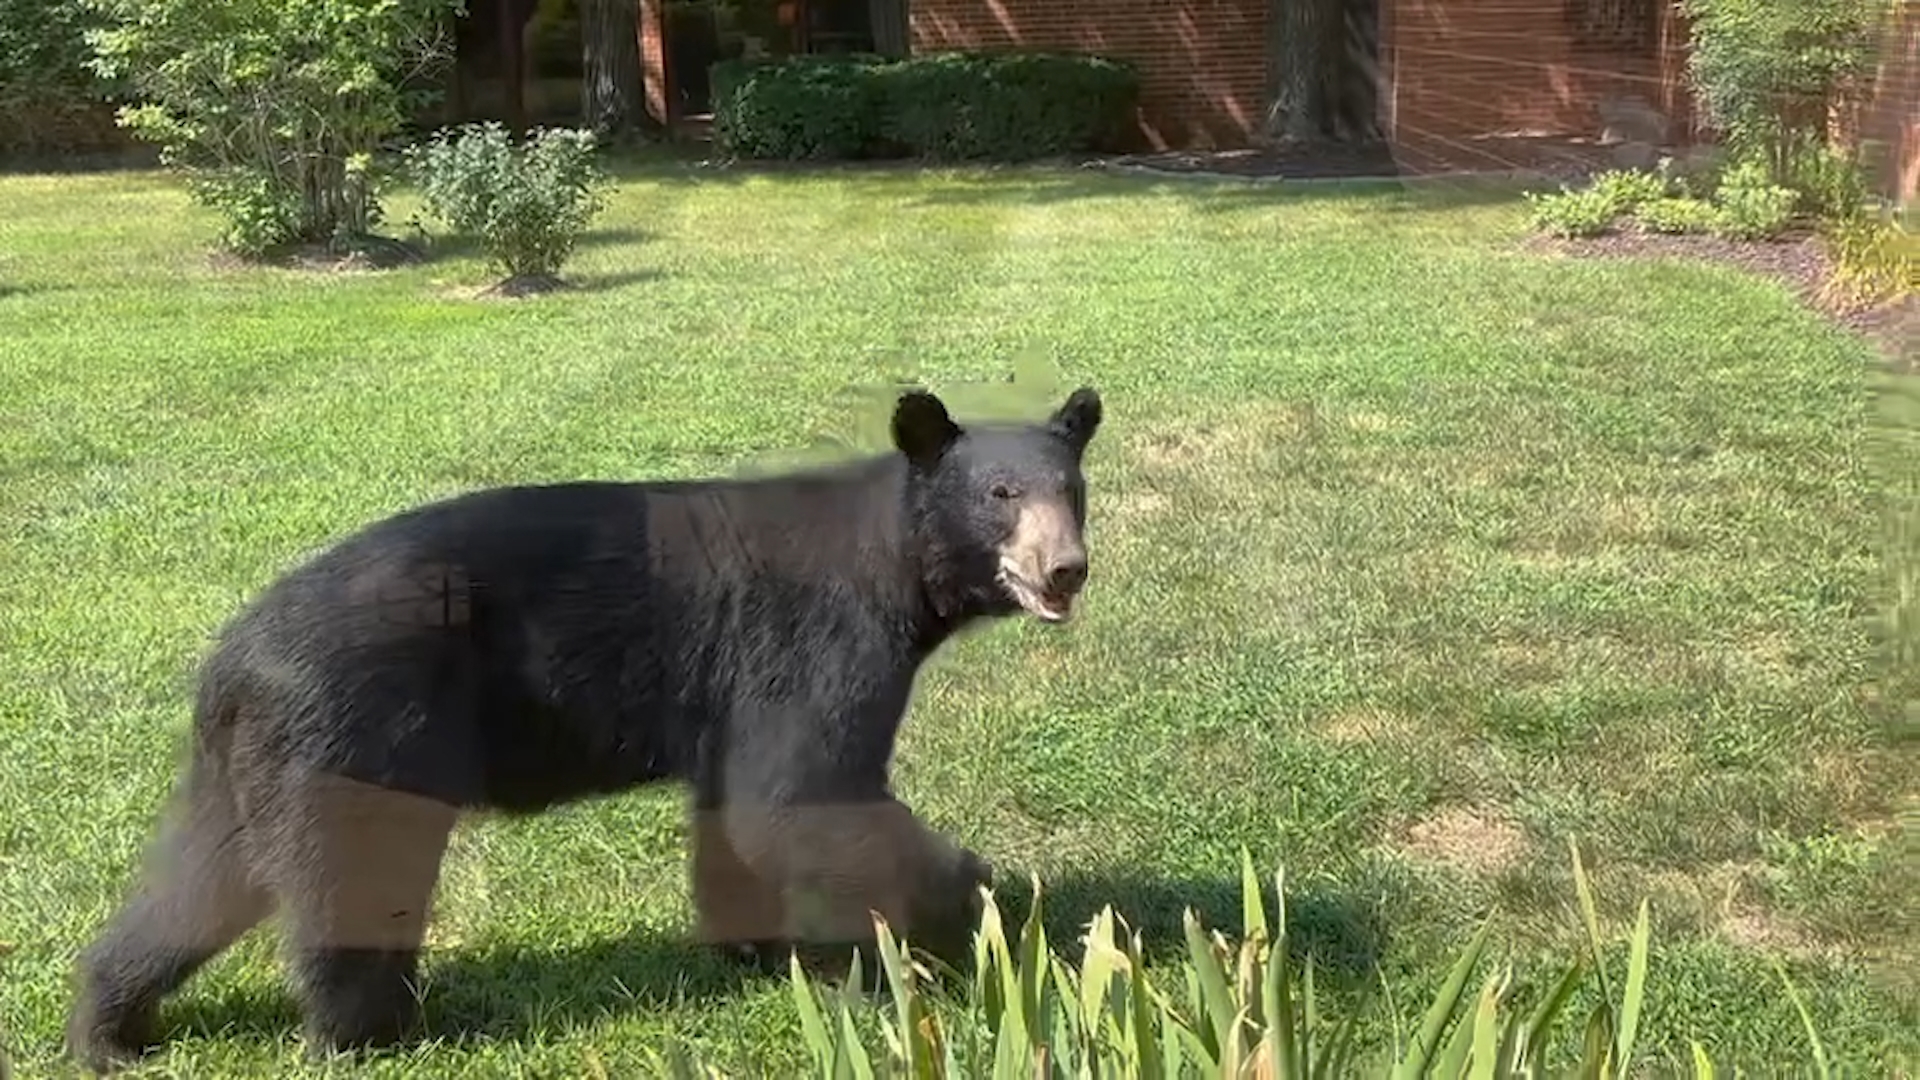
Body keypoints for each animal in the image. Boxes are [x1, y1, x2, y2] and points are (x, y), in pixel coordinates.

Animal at [67, 382, 1113, 1060]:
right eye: (1001, 495)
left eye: (1072, 490)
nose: (1066, 569)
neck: (898, 566)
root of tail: (231, 656)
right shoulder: (818, 635)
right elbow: (798, 794)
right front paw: (978, 907)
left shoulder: (732, 689)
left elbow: (738, 810)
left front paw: (753, 947)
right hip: (360, 734)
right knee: (351, 878)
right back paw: (371, 1033)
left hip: (251, 767)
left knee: (197, 883)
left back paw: (109, 1027)